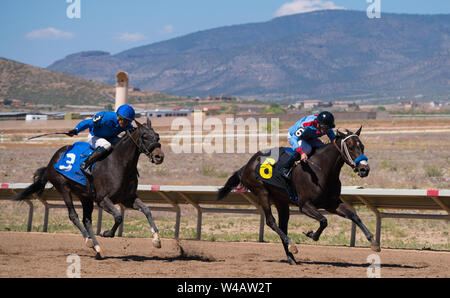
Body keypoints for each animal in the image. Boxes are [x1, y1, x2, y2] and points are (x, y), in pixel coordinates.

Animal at [12, 118, 165, 258]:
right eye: (144, 136)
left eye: (157, 136)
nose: (159, 156)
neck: (120, 163)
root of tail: (52, 161)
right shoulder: (102, 199)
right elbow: (118, 216)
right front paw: (107, 233)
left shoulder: (128, 198)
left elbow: (146, 210)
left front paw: (156, 240)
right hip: (63, 188)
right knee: (73, 216)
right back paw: (89, 241)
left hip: (85, 197)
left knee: (87, 220)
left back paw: (97, 248)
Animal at [218, 127, 380, 264]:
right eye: (351, 147)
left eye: (362, 146)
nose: (364, 169)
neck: (321, 170)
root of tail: (246, 166)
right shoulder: (305, 205)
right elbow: (324, 220)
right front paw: (311, 234)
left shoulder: (331, 204)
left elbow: (354, 216)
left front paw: (374, 243)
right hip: (262, 192)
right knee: (271, 222)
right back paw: (292, 246)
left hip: (281, 201)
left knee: (283, 225)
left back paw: (291, 258)